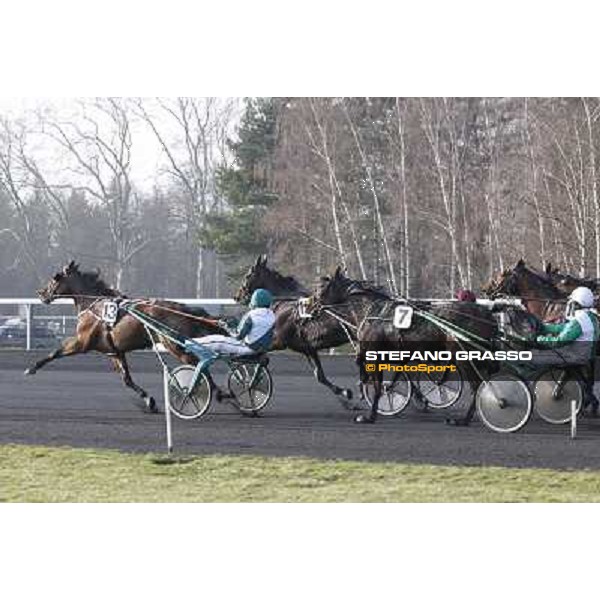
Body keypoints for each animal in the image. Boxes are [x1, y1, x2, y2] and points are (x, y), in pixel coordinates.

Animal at [22, 262, 225, 412]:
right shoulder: (113, 351)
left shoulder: (81, 342)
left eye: (55, 278)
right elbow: (127, 379)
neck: (93, 305)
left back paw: (214, 392)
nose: (41, 293)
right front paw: (149, 401)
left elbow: (55, 352)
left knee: (198, 364)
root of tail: (184, 309)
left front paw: (32, 368)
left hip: (175, 346)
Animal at [236, 255, 360, 410]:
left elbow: (261, 359)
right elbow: (320, 376)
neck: (284, 303)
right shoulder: (307, 348)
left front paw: (251, 384)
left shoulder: (278, 341)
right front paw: (346, 397)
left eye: (248, 275)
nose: (237, 296)